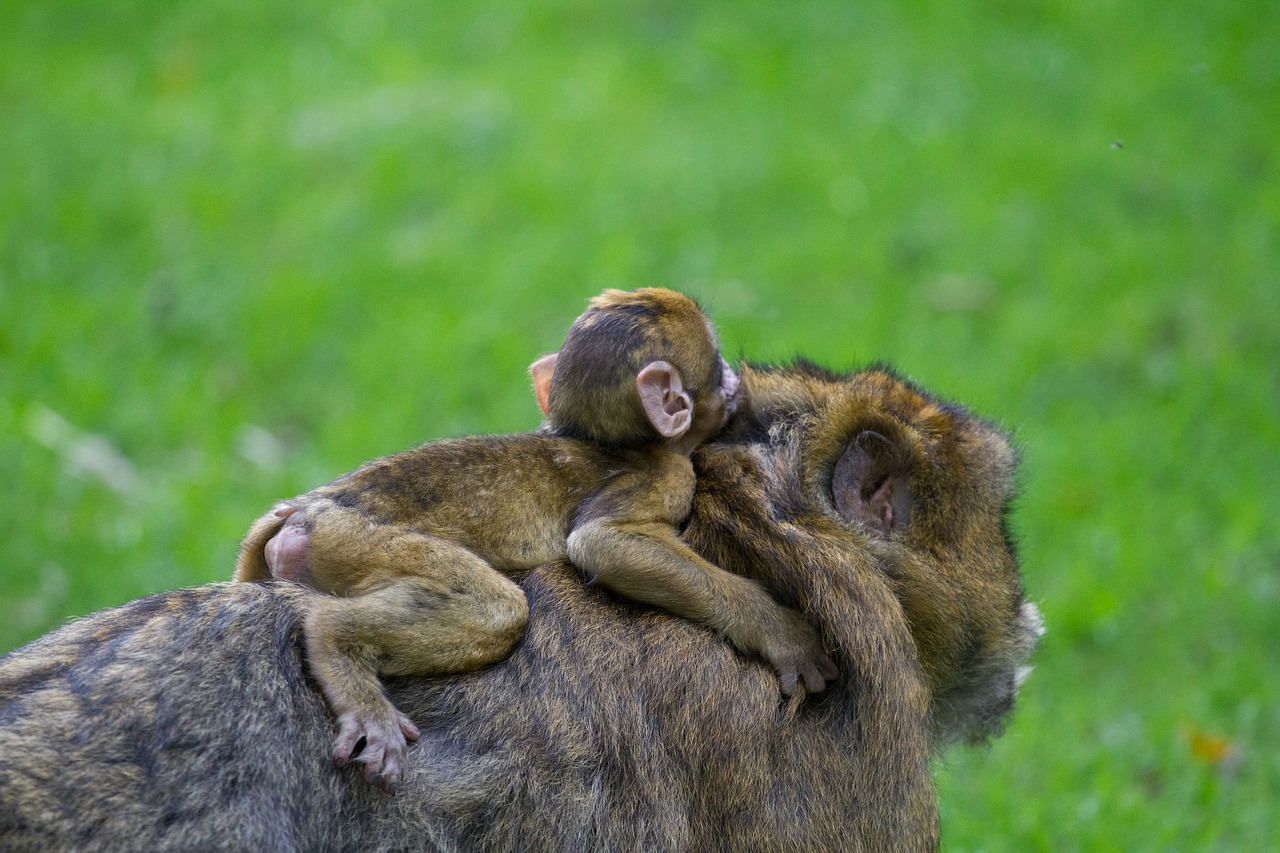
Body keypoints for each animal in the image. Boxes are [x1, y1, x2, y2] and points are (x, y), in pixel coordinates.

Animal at [0, 361, 1039, 845]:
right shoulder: (853, 768)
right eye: (997, 524)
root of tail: (303, 518)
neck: (755, 522)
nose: (1025, 617)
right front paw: (780, 631)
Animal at [238, 286, 839, 788]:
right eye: (716, 366)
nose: (734, 381)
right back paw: (336, 643)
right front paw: (779, 629)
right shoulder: (666, 478)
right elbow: (602, 544)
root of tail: (305, 513)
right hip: (354, 539)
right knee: (496, 609)